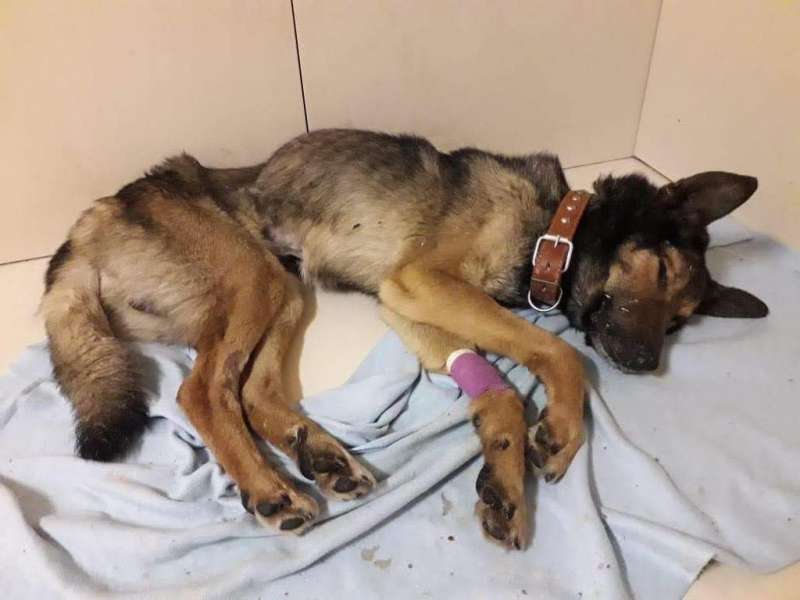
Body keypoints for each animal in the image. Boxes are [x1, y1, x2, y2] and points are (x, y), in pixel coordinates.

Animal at [41, 129, 767, 548]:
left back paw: (321, 455)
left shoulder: (407, 301)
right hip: (253, 278)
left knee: (251, 391)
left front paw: (504, 475)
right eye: (664, 273)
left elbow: (496, 389)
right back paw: (272, 490)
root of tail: (91, 220)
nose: (645, 363)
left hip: (285, 286)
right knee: (202, 391)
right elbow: (560, 351)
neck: (552, 230)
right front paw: (562, 426)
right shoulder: (423, 280)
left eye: (679, 322)